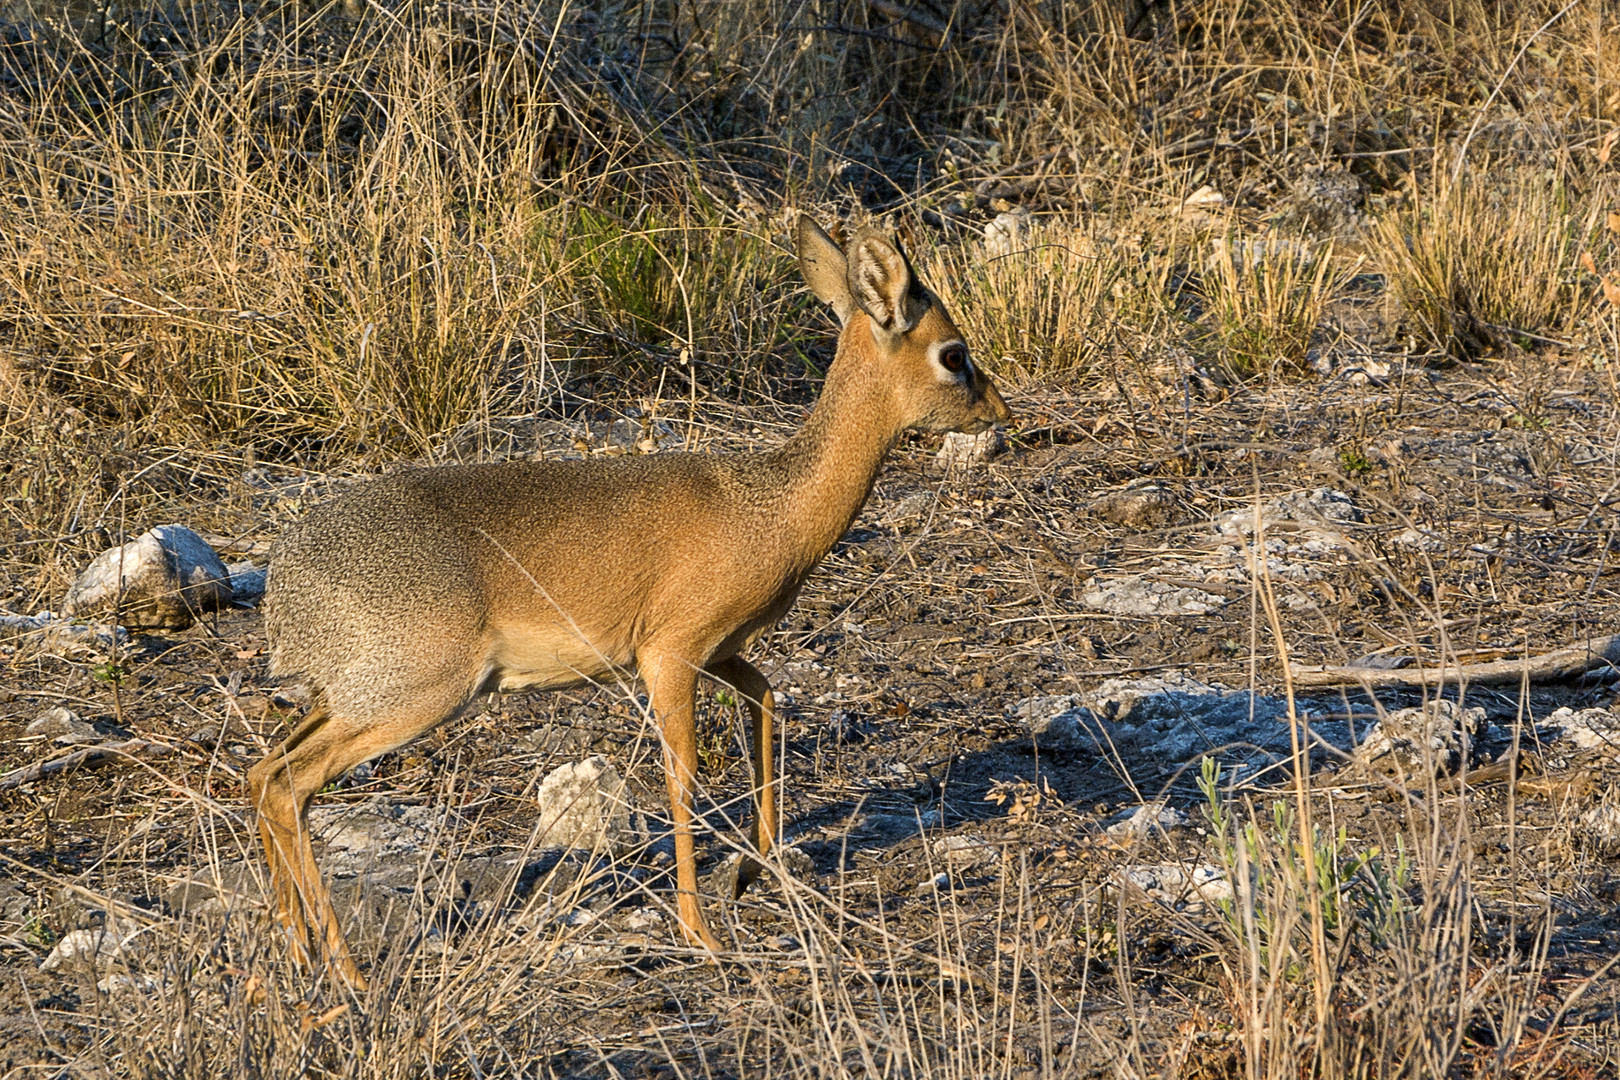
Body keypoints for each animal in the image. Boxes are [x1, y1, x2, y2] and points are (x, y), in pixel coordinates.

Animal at [252, 215, 1010, 984]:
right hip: (415, 695)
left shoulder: (722, 652)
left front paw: (749, 871)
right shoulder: (669, 654)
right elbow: (683, 780)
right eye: (953, 354)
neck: (771, 505)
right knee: (290, 783)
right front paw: (700, 931)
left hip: (350, 698)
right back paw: (343, 970)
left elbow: (768, 704)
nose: (1000, 412)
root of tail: (287, 585)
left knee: (264, 772)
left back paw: (292, 954)